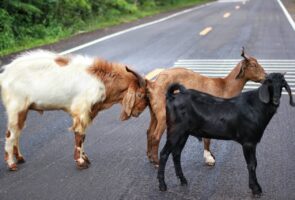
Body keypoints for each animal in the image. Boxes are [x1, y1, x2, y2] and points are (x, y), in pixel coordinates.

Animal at [158, 72, 294, 196]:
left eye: (282, 84)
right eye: (269, 83)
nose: (276, 100)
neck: (256, 106)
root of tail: (171, 96)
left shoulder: (252, 142)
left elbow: (254, 163)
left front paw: (255, 187)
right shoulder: (248, 142)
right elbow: (251, 164)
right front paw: (255, 189)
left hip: (183, 133)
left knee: (176, 154)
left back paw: (183, 180)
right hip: (175, 131)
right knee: (164, 154)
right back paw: (162, 185)